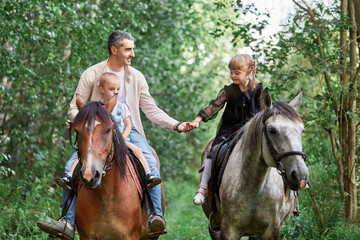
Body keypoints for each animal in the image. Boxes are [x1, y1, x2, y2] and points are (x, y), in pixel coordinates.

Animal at [71, 95, 163, 240]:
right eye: (77, 131)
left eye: (108, 130)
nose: (89, 175)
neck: (107, 195)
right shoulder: (85, 236)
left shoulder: (131, 236)